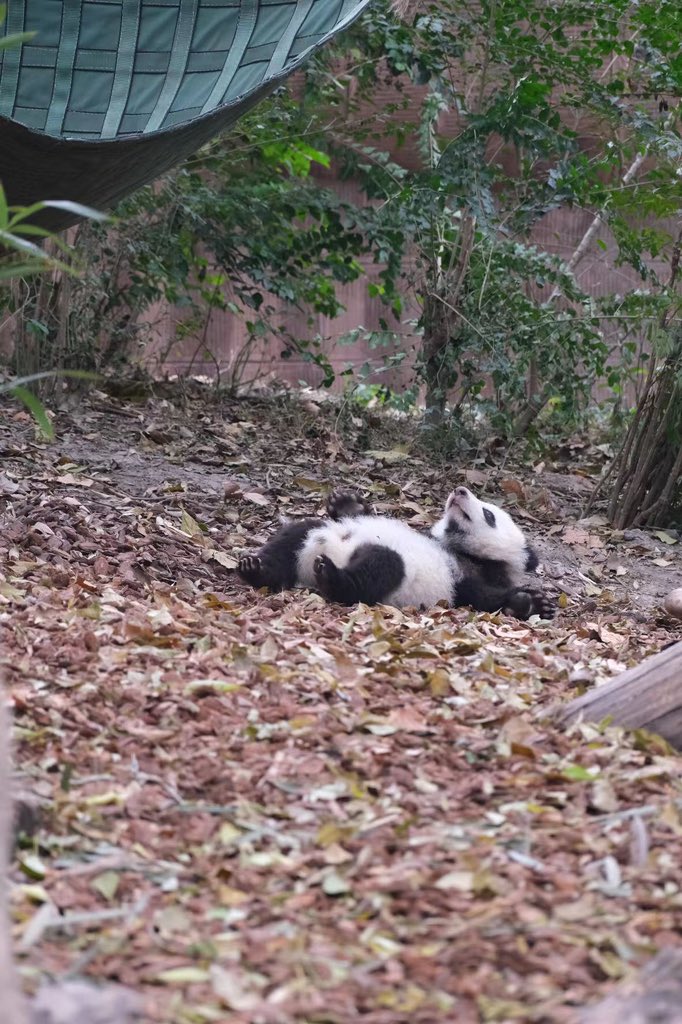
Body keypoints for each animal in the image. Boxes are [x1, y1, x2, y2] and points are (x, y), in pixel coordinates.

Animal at [238, 487, 555, 620]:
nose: (460, 490)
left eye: (489, 515)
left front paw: (531, 603)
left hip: (393, 569)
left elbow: (483, 597)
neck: (457, 549)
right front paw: (346, 502)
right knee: (292, 538)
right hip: (313, 534)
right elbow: (364, 514)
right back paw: (255, 568)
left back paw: (331, 575)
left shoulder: (464, 578)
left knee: (380, 570)